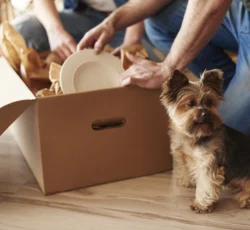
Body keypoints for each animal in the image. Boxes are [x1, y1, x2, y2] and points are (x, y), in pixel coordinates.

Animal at [159, 68, 250, 214]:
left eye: (210, 102)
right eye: (190, 103)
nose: (206, 113)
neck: (196, 135)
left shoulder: (208, 162)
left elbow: (206, 184)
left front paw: (200, 205)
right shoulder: (184, 156)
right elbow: (186, 169)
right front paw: (187, 182)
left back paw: (245, 199)